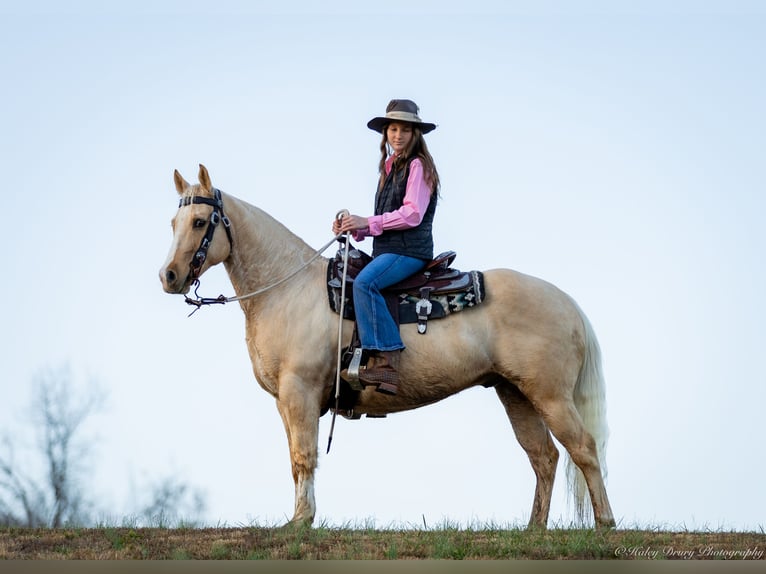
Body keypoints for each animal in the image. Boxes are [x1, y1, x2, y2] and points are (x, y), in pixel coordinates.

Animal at [159, 164, 616, 528]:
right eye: (173, 222)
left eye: (200, 221)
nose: (169, 276)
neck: (288, 289)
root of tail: (568, 304)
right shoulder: (285, 401)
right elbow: (294, 458)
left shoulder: (299, 391)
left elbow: (303, 456)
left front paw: (301, 522)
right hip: (515, 393)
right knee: (544, 457)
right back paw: (534, 529)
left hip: (551, 395)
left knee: (583, 449)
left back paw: (605, 524)